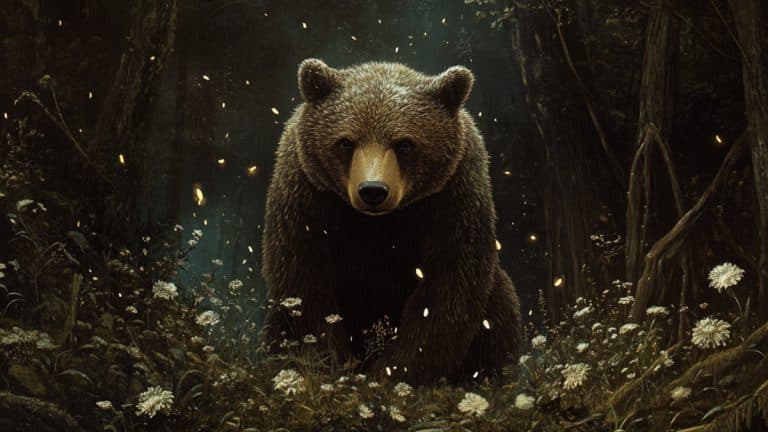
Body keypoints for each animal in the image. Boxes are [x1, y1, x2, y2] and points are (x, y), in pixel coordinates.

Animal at [260, 58, 522, 384]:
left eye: (404, 144)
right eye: (346, 142)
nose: (373, 190)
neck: (379, 223)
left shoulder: (455, 194)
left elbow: (448, 288)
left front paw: (390, 374)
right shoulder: (306, 190)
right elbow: (304, 283)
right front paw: (334, 367)